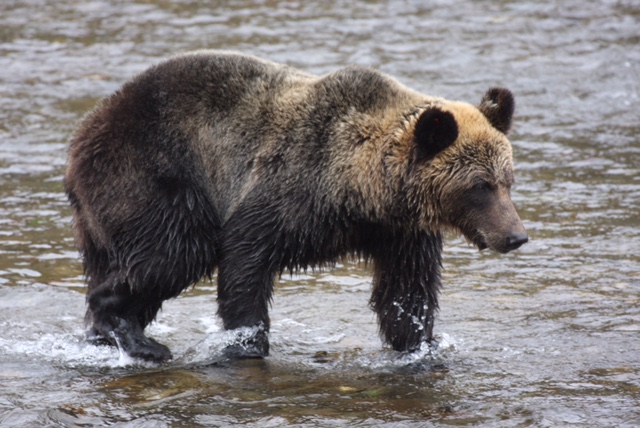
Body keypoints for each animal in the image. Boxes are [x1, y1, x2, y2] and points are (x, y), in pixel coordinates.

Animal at [62, 50, 528, 362]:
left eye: (508, 181)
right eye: (480, 186)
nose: (516, 236)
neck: (360, 191)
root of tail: (83, 132)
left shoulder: (401, 233)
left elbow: (406, 291)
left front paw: (419, 344)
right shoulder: (290, 187)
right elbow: (244, 258)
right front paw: (247, 343)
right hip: (151, 175)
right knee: (172, 252)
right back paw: (135, 337)